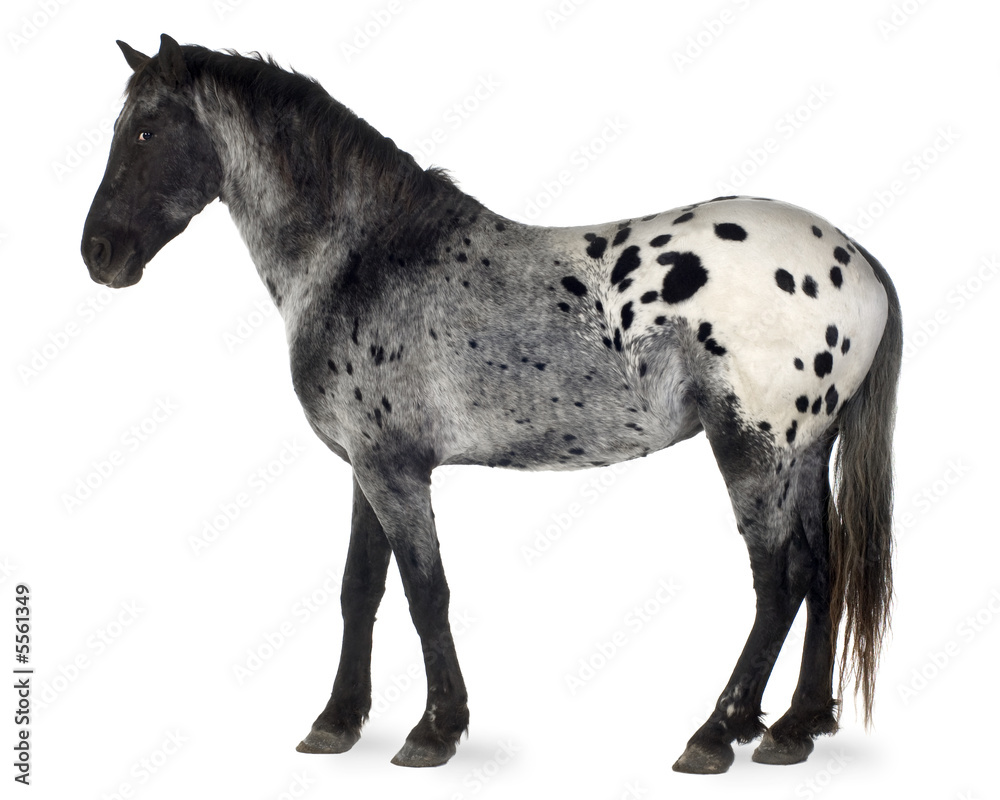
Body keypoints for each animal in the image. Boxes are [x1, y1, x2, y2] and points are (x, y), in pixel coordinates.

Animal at [81, 34, 901, 774]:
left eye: (146, 130)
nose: (99, 254)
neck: (367, 257)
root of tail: (855, 257)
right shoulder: (367, 468)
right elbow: (360, 589)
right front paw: (337, 722)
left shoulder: (395, 471)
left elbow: (425, 592)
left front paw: (434, 731)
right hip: (806, 452)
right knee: (822, 569)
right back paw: (794, 729)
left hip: (753, 450)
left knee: (779, 580)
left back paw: (715, 735)